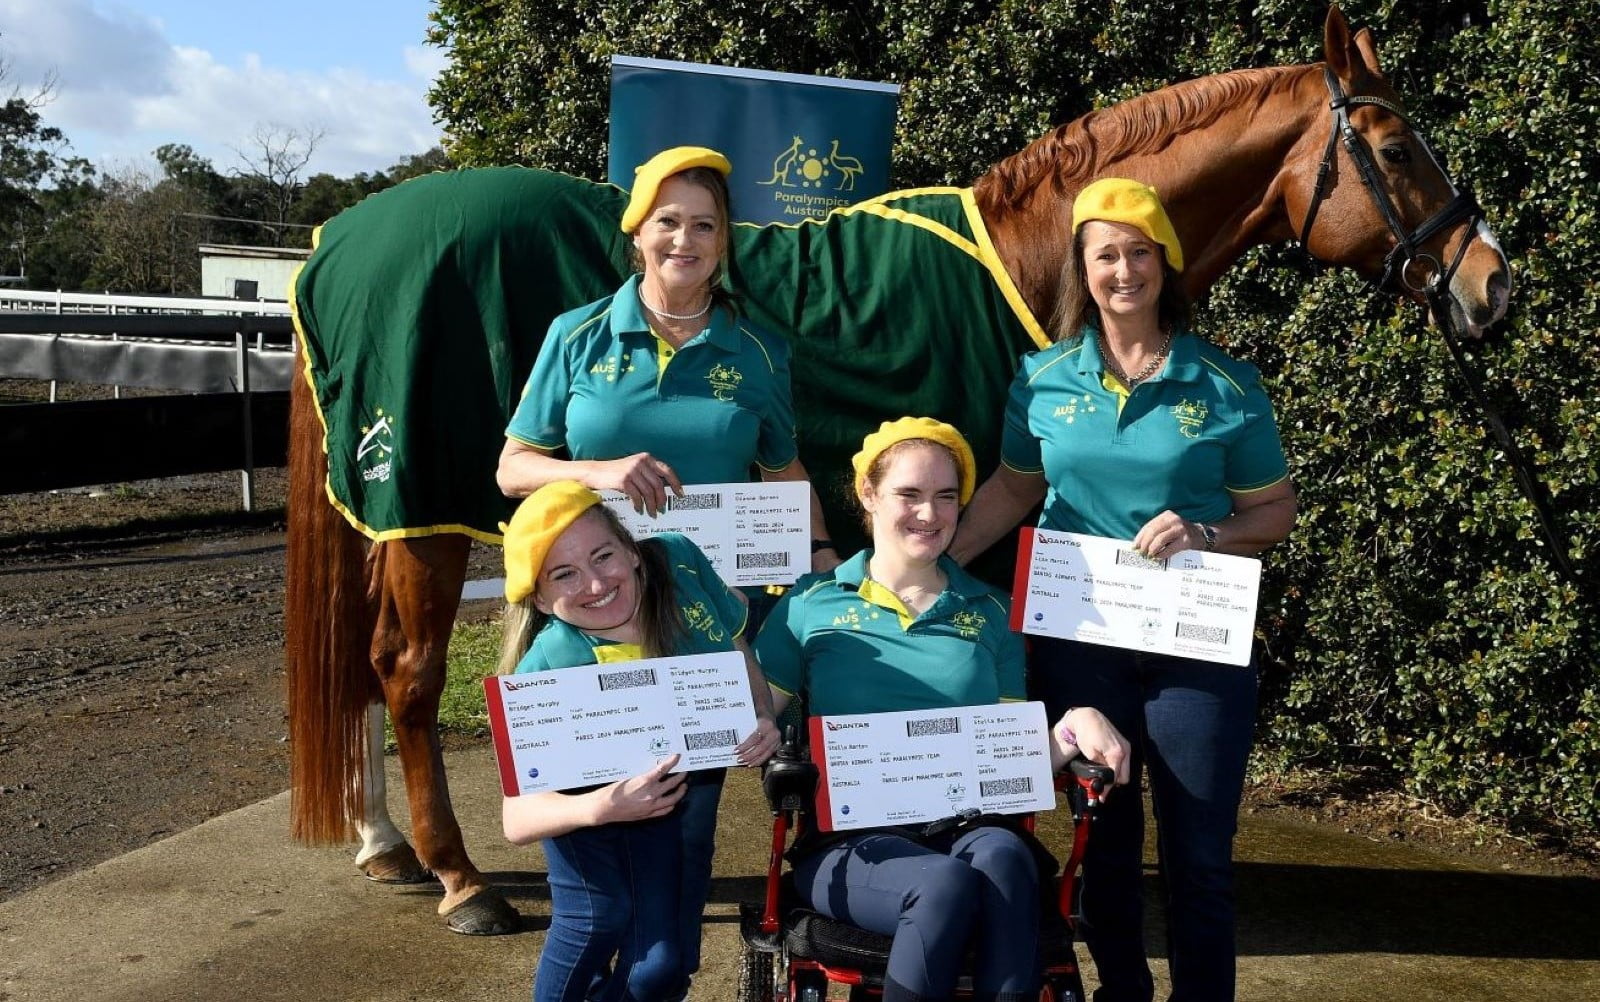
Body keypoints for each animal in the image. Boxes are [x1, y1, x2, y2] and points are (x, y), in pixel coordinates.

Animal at [288, 3, 1510, 934]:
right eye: (1398, 149)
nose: (1490, 285)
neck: (1031, 263)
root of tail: (340, 238)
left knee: (363, 669)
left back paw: (386, 847)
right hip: (422, 511)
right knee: (402, 670)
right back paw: (457, 879)